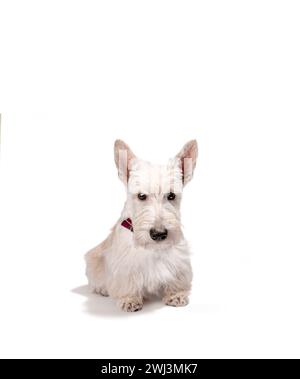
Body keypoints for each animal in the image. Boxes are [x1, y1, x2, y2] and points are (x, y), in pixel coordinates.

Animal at [85, 140, 197, 312]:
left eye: (171, 195)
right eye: (141, 196)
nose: (159, 234)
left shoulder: (179, 262)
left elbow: (177, 280)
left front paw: (176, 295)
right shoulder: (124, 265)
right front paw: (129, 299)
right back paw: (103, 289)